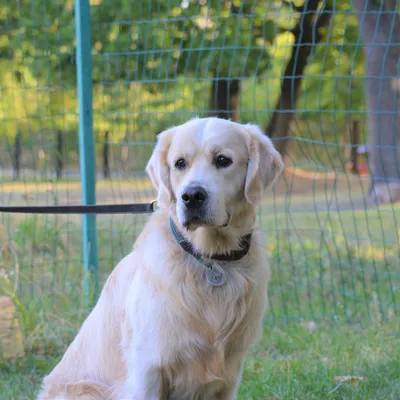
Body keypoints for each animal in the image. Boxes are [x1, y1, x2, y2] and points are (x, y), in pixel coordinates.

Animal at [36, 117, 282, 398]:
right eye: (180, 163)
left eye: (223, 160)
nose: (192, 196)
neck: (210, 259)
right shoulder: (148, 369)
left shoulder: (229, 376)